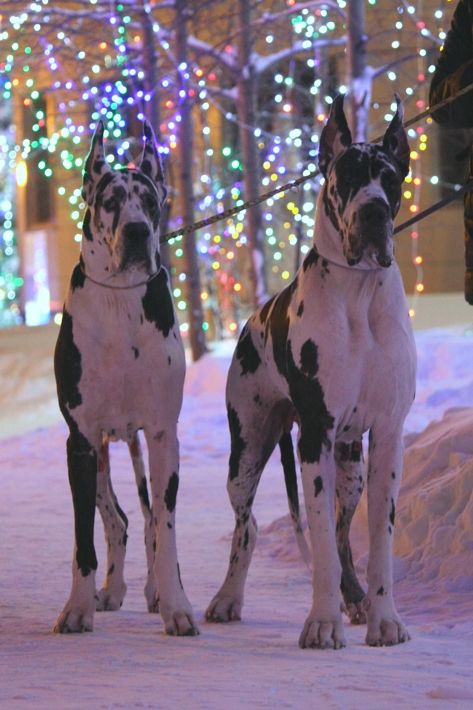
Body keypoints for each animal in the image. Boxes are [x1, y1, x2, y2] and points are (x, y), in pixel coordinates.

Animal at [54, 122, 197, 640]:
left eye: (151, 200)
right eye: (111, 200)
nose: (136, 231)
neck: (120, 302)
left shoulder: (162, 435)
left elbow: (166, 529)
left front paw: (176, 605)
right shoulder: (80, 440)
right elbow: (82, 539)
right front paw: (78, 609)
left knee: (150, 519)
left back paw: (153, 590)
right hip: (95, 457)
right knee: (115, 521)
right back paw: (110, 590)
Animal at [205, 94, 414, 652]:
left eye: (390, 179)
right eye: (347, 177)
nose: (373, 211)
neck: (359, 292)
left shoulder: (387, 436)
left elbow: (376, 542)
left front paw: (384, 618)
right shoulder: (315, 436)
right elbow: (317, 541)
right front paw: (322, 622)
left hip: (351, 463)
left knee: (342, 534)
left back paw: (356, 599)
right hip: (246, 452)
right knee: (247, 526)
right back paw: (227, 598)